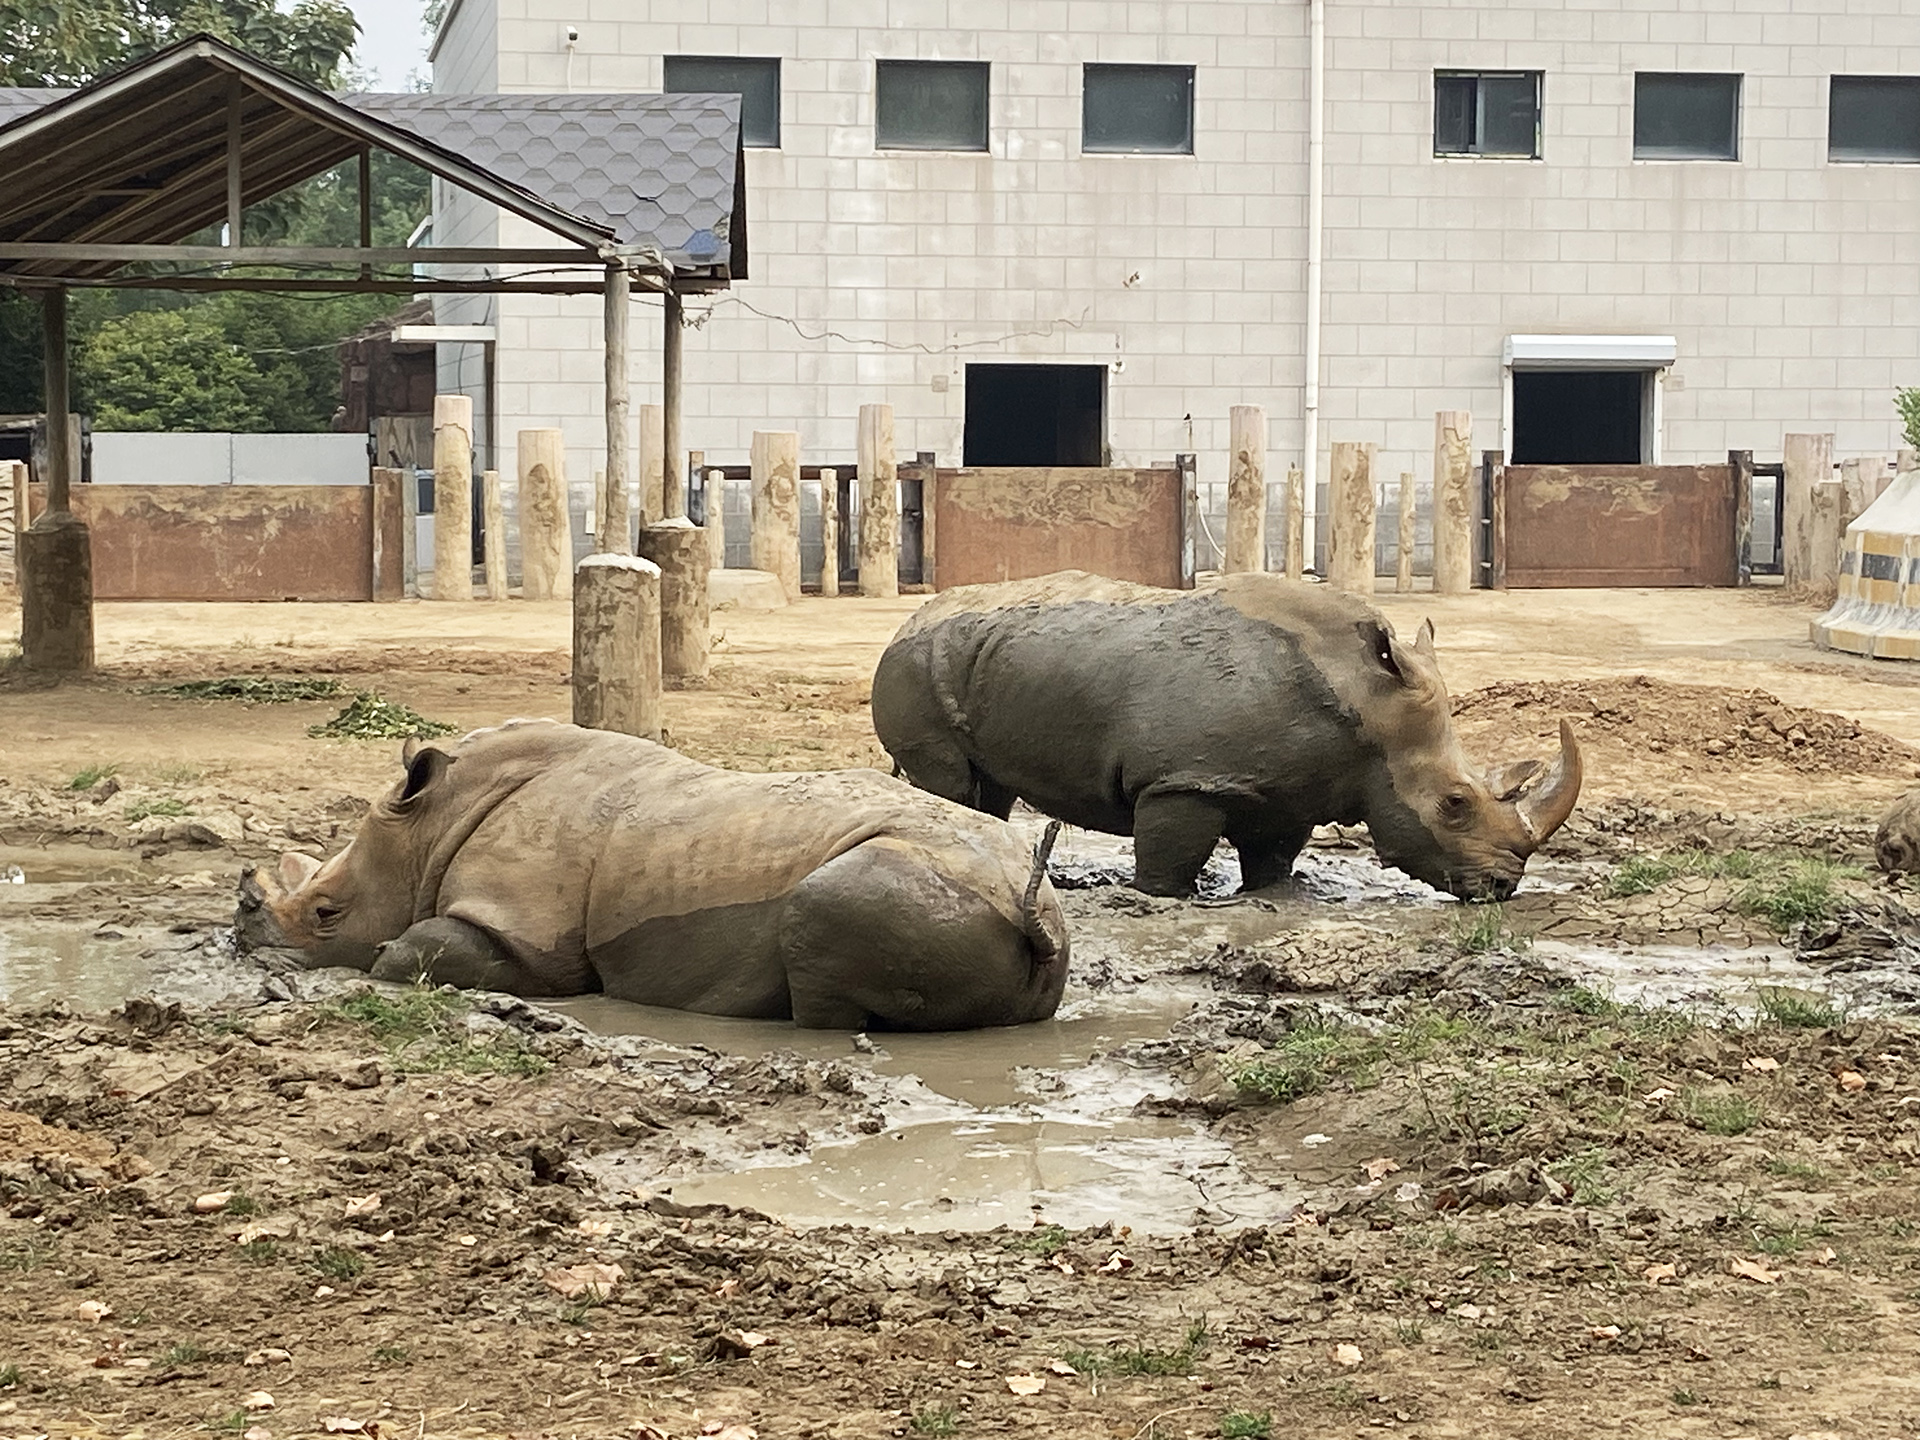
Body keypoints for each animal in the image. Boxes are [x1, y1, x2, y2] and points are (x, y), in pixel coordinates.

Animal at [236, 719, 1068, 1030]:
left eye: (327, 913)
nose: (241, 944)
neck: (430, 829)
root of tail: (1039, 918)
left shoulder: (531, 940)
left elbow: (405, 952)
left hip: (904, 884)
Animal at [870, 571, 1583, 901]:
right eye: (1455, 804)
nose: (1502, 889)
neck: (1364, 703)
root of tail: (905, 619)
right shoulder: (1185, 778)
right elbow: (1168, 865)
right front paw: (1158, 897)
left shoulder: (1292, 790)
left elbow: (1272, 860)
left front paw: (1264, 895)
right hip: (914, 662)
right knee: (950, 784)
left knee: (987, 792)